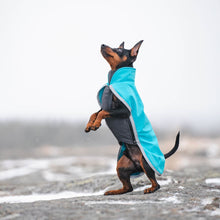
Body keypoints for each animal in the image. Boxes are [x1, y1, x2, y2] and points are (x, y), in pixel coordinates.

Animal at [85, 40, 180, 195]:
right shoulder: (106, 107)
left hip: (145, 163)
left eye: (118, 50)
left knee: (156, 184)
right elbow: (95, 112)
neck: (115, 81)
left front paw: (96, 124)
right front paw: (89, 125)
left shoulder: (124, 110)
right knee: (128, 188)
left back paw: (150, 189)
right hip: (121, 166)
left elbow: (102, 112)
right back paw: (114, 192)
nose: (102, 44)